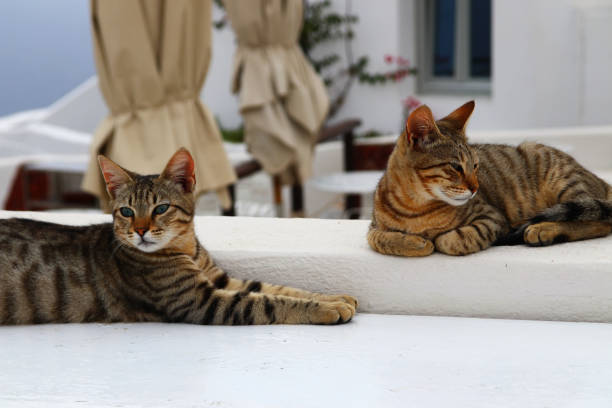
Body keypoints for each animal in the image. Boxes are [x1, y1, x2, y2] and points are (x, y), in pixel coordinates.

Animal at [0, 148, 356, 324]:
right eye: (126, 211)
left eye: (161, 208)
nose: (141, 230)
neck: (185, 247)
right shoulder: (201, 301)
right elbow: (271, 301)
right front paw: (325, 309)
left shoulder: (221, 279)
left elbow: (280, 287)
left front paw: (334, 297)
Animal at [368, 101, 612, 255]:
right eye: (456, 167)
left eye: (475, 166)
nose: (475, 188)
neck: (415, 207)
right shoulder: (373, 226)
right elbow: (378, 239)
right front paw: (413, 242)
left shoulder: (491, 218)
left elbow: (453, 240)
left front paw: (431, 241)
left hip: (565, 182)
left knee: (600, 221)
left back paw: (544, 229)